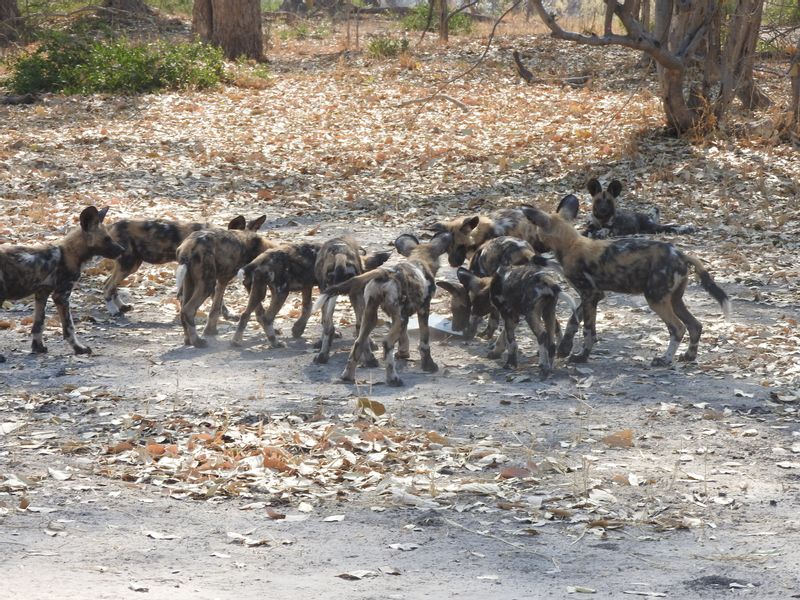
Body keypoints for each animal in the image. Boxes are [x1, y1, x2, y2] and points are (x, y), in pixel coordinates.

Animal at [0, 206, 125, 356]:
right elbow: (69, 327)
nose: (123, 250)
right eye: (107, 239)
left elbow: (39, 324)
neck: (72, 252)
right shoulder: (61, 296)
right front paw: (79, 348)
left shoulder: (42, 294)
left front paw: (38, 348)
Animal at [103, 213, 248, 316]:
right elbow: (218, 299)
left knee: (109, 284)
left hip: (131, 265)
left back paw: (121, 306)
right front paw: (228, 314)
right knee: (108, 286)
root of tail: (111, 226)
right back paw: (113, 310)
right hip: (128, 264)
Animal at [177, 216, 274, 346]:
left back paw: (188, 340)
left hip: (190, 283)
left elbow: (215, 308)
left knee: (183, 311)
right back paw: (197, 342)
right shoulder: (248, 283)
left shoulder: (223, 280)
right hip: (207, 285)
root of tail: (189, 246)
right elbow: (259, 310)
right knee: (188, 310)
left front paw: (210, 331)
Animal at [310, 232, 450, 386]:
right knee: (386, 343)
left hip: (371, 314)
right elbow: (424, 342)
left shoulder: (400, 316)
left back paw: (347, 376)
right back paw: (393, 379)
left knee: (358, 341)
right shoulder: (422, 310)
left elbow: (404, 337)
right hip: (397, 318)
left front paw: (403, 353)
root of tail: (385, 273)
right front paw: (428, 365)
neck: (419, 260)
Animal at [520, 196, 728, 366]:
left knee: (678, 328)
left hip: (655, 299)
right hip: (674, 300)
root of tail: (682, 254)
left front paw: (581, 357)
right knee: (695, 325)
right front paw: (566, 348)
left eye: (537, 235)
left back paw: (665, 360)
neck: (571, 244)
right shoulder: (593, 296)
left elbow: (588, 330)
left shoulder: (590, 294)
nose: (534, 249)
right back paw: (689, 356)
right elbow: (576, 322)